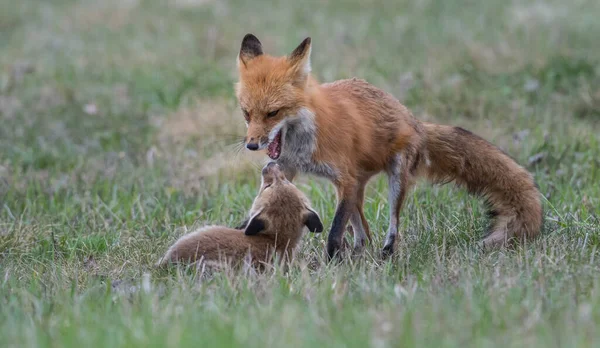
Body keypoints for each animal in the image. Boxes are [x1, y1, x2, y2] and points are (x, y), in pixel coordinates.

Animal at [234, 34, 544, 260]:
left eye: (273, 113)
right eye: (247, 113)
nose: (252, 144)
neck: (304, 141)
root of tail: (412, 118)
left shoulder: (344, 178)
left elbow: (334, 234)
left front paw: (331, 263)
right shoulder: (287, 167)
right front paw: (243, 229)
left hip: (393, 180)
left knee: (391, 225)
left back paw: (386, 252)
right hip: (356, 188)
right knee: (363, 233)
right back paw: (360, 252)